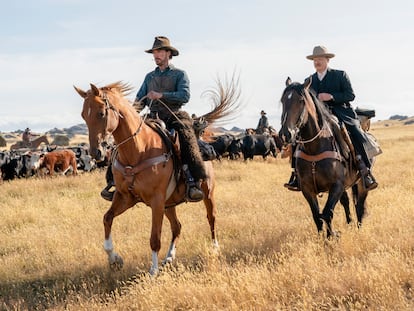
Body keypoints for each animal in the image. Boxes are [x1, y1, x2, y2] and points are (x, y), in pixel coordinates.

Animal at [74, 79, 239, 274]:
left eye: (101, 113)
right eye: (84, 115)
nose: (96, 152)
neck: (139, 150)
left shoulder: (156, 200)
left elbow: (154, 238)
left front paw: (153, 271)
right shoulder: (125, 197)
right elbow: (107, 218)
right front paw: (115, 259)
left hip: (207, 193)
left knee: (211, 218)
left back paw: (214, 248)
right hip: (169, 204)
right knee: (177, 226)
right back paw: (169, 257)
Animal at [278, 77, 368, 236]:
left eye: (301, 100)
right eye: (282, 101)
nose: (285, 134)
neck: (315, 147)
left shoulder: (336, 185)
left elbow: (327, 213)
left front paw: (332, 236)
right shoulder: (307, 189)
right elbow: (317, 216)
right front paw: (322, 238)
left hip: (361, 183)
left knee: (360, 204)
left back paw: (359, 226)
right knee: (346, 201)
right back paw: (349, 222)